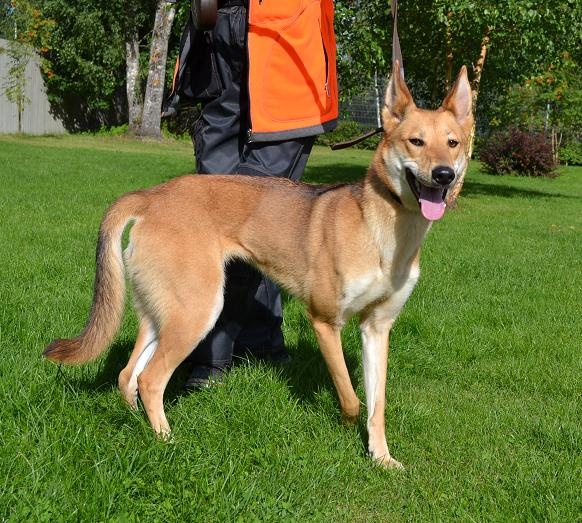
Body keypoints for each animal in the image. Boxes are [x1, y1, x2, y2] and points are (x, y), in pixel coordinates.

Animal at [44, 64, 473, 469]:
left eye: (452, 143)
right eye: (416, 141)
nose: (444, 175)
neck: (383, 230)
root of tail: (151, 197)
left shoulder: (377, 328)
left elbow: (377, 404)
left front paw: (381, 457)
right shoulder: (324, 321)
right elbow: (351, 399)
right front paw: (345, 428)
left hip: (162, 311)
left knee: (127, 375)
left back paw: (139, 425)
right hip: (198, 311)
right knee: (149, 379)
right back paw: (168, 441)